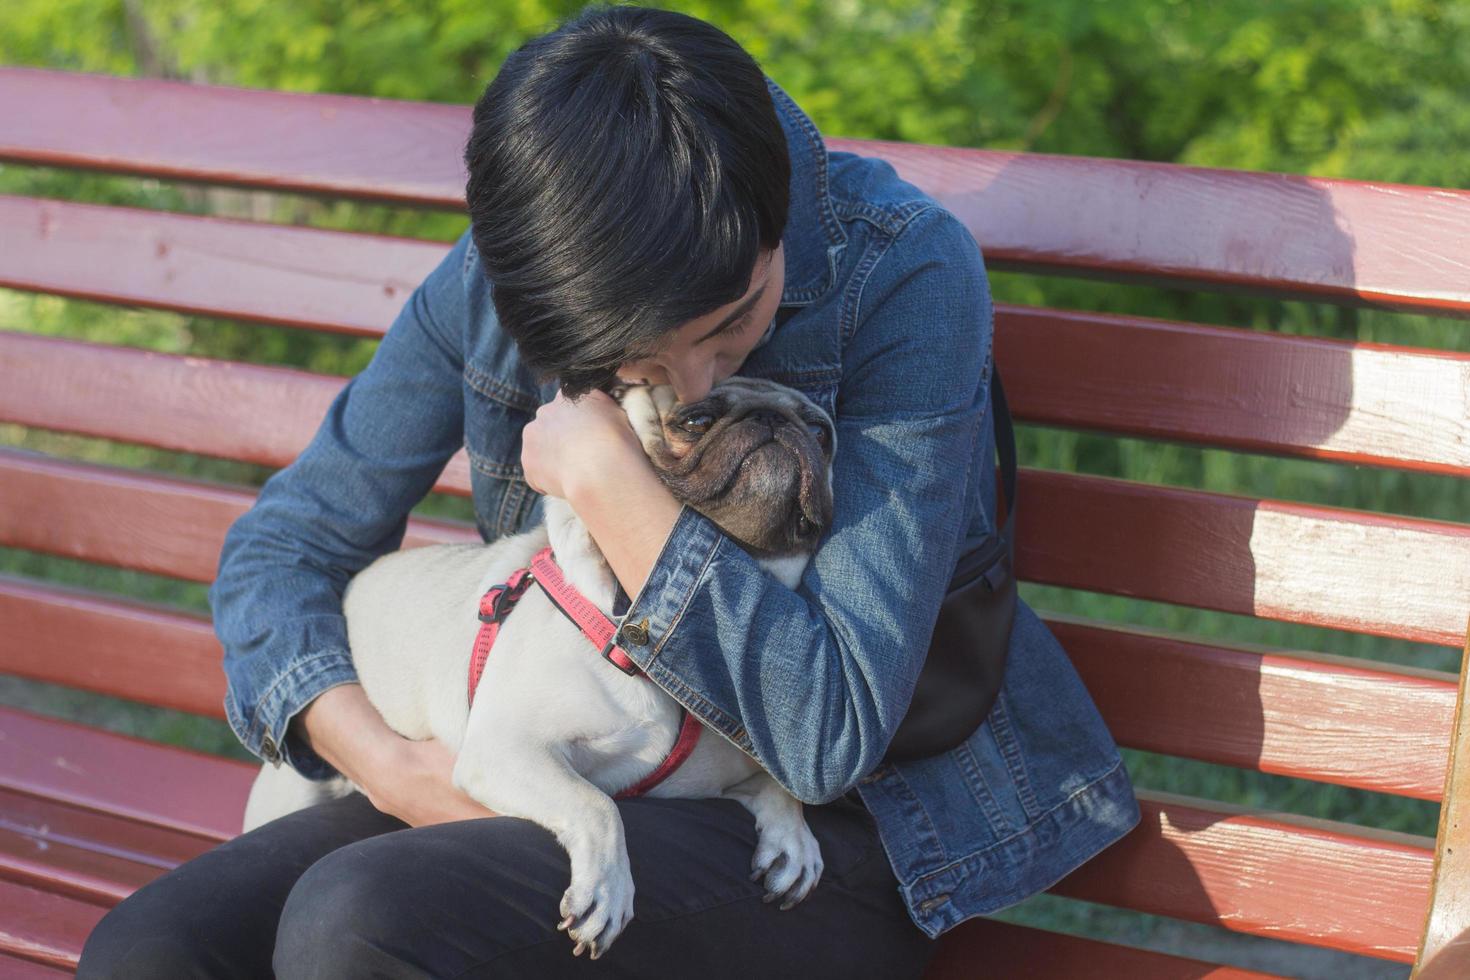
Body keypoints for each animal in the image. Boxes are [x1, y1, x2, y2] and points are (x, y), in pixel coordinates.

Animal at [241, 376, 840, 957]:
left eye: (820, 430)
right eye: (696, 420)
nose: (774, 419)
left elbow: (781, 787)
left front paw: (792, 841)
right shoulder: (506, 750)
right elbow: (597, 804)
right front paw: (608, 890)